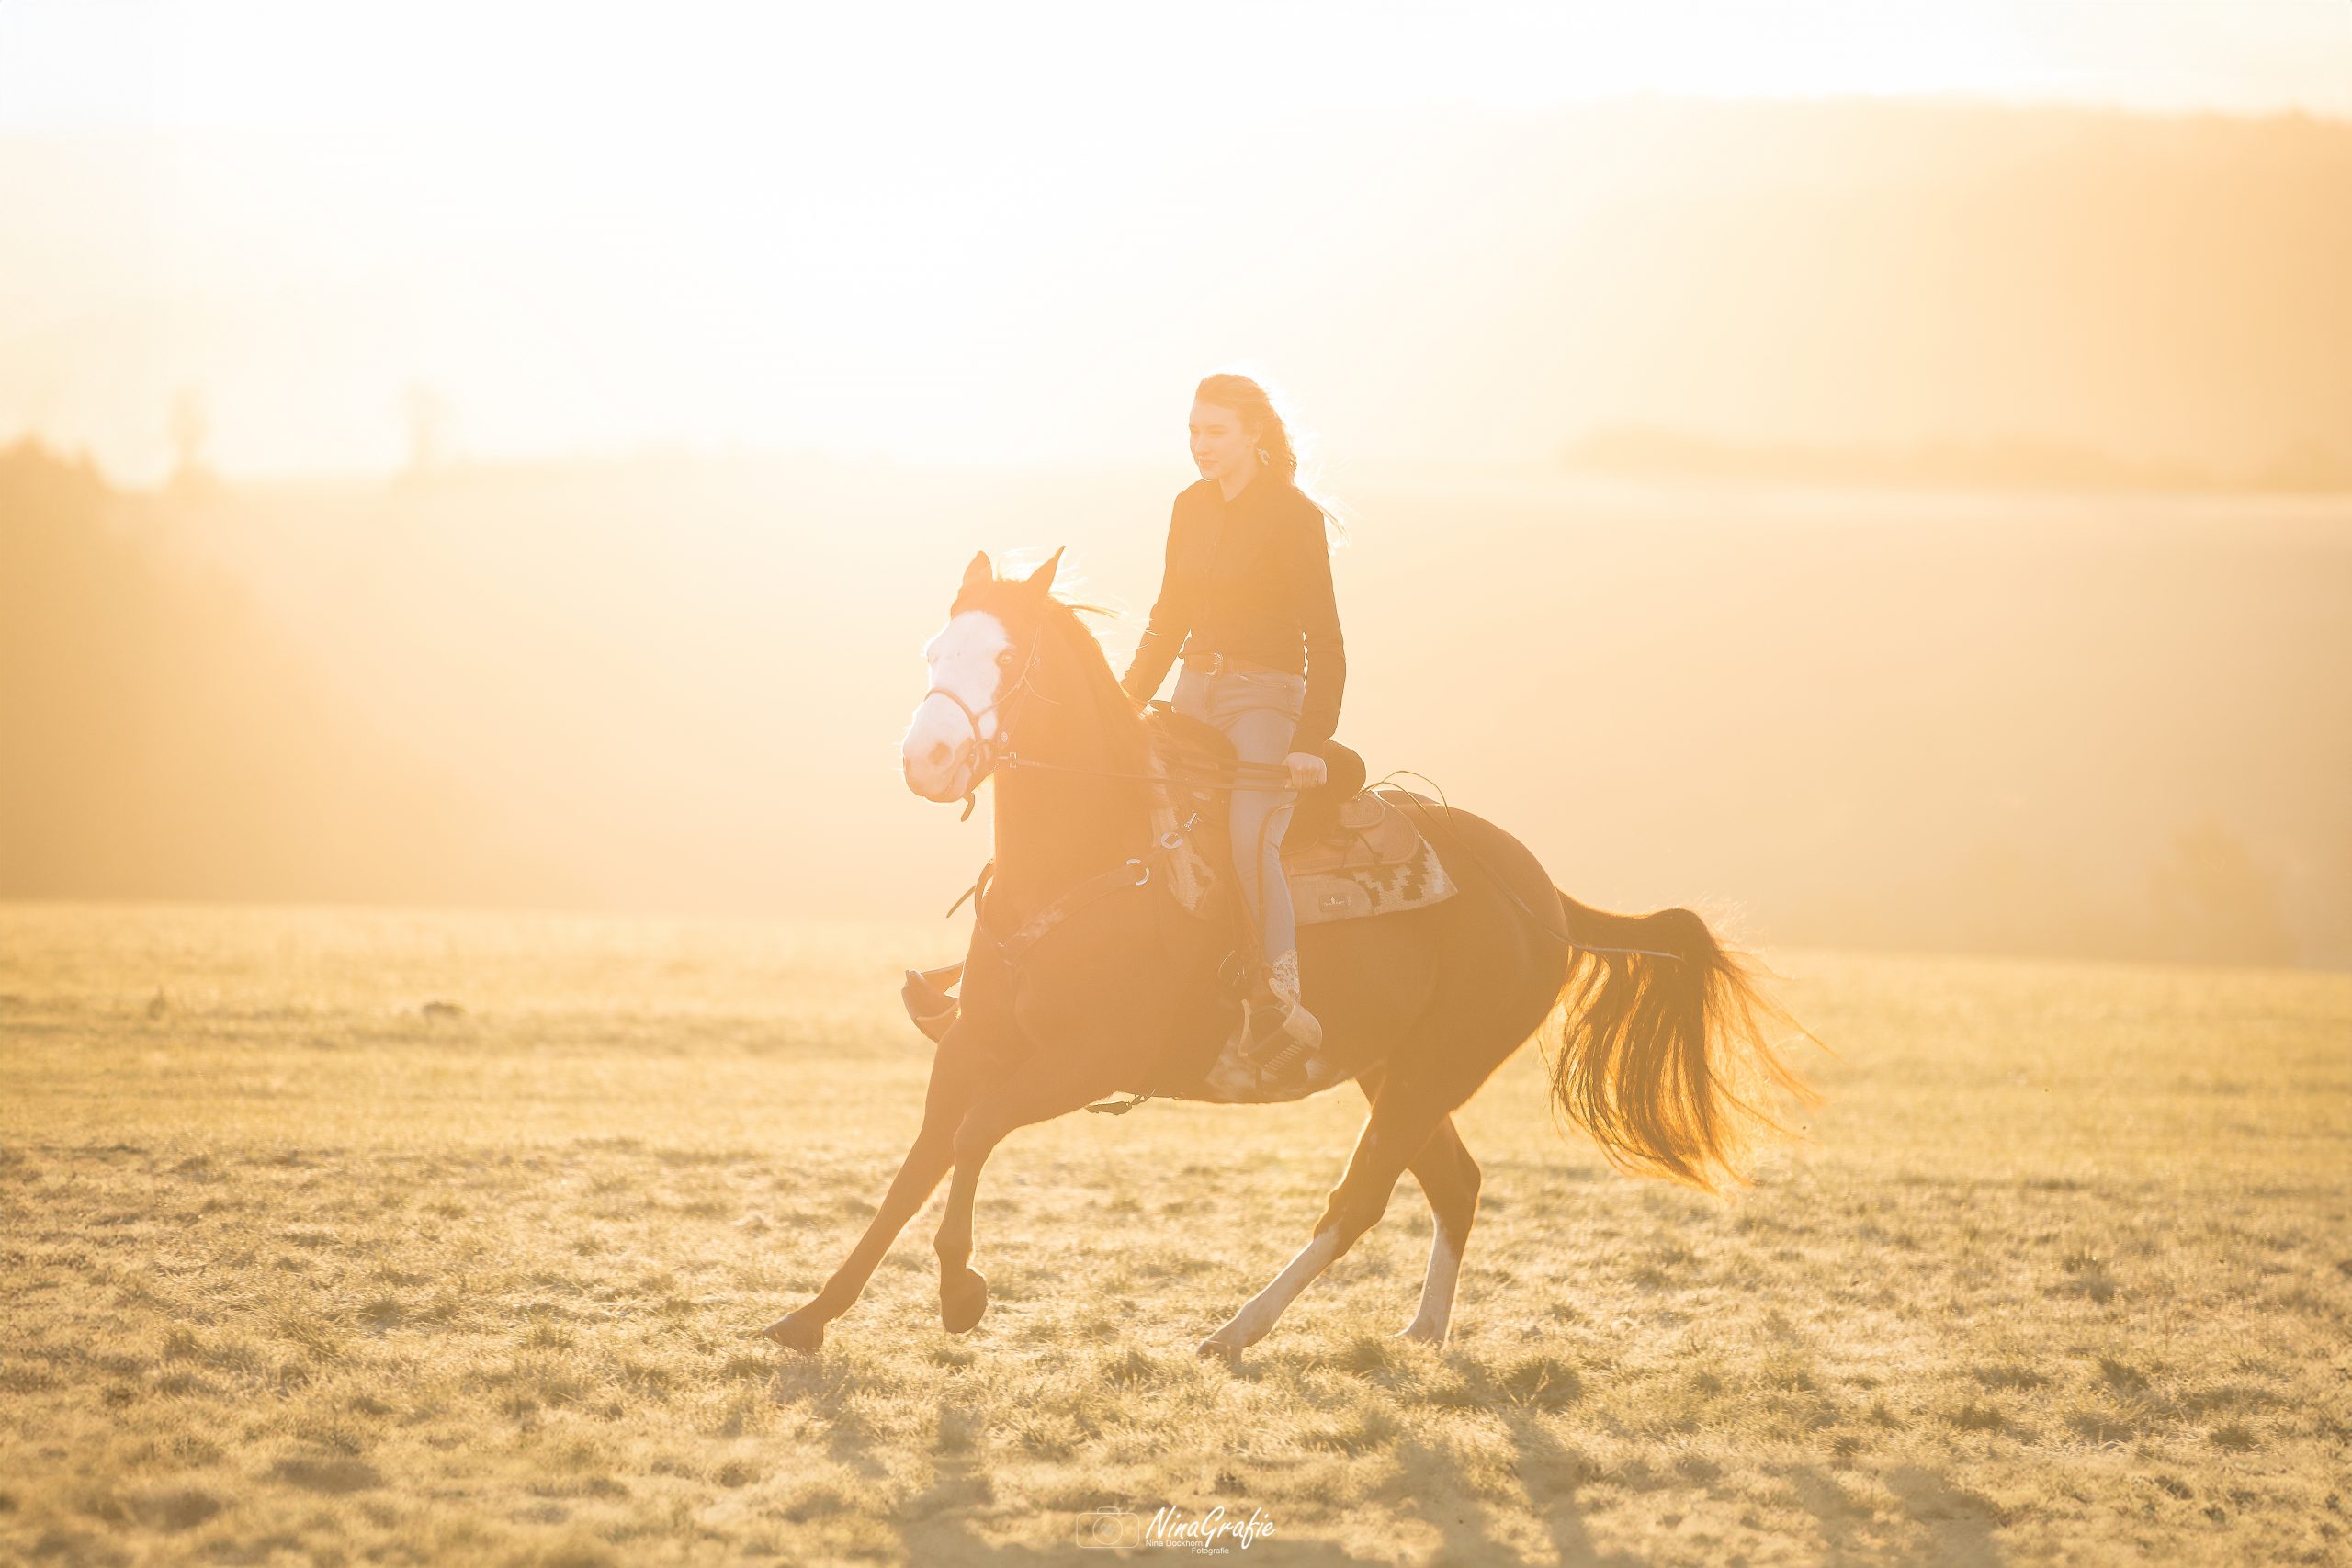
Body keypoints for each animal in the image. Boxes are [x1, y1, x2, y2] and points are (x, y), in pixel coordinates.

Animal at [761, 546, 1818, 1363]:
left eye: (1009, 657)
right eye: (933, 649)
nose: (927, 759)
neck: (1093, 859)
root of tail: (1545, 898)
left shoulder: (1083, 1063)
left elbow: (975, 1135)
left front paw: (959, 1293)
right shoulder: (970, 1048)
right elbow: (917, 1165)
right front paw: (812, 1315)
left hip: (1434, 1067)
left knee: (1360, 1199)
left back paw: (1237, 1329)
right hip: (1396, 1068)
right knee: (1454, 1184)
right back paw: (1422, 1332)